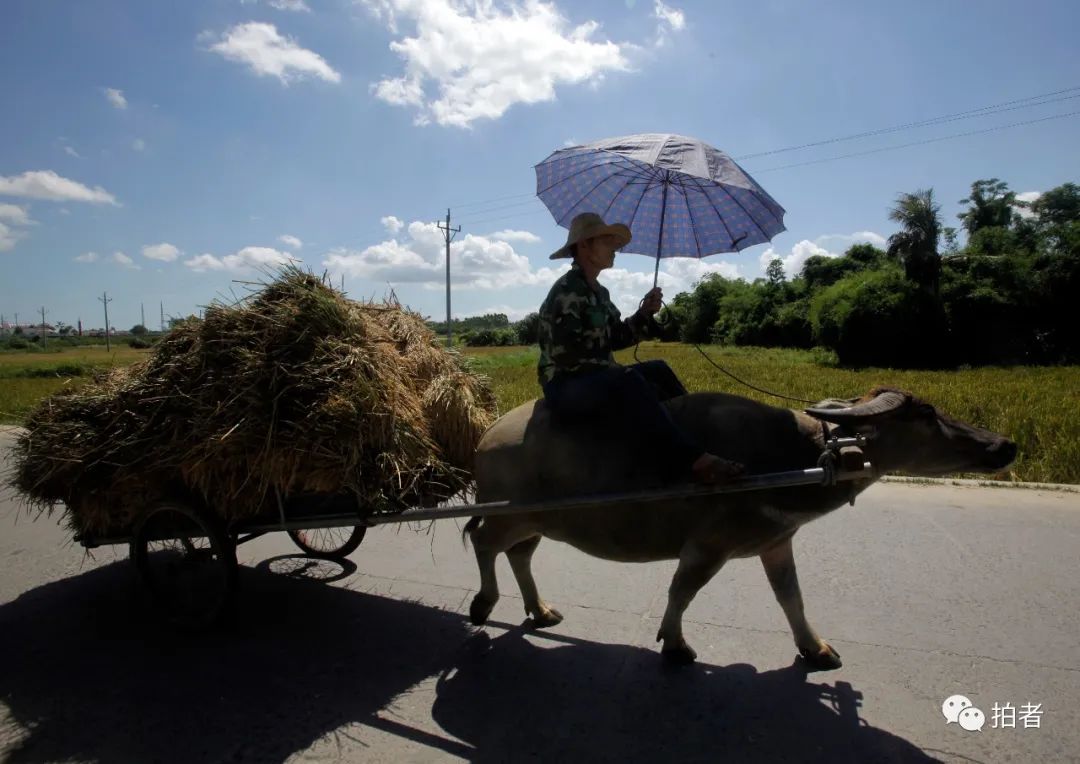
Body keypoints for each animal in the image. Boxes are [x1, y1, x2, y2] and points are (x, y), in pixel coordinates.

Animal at [462, 384, 1010, 665]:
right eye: (927, 414)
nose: (1004, 444)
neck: (794, 456)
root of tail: (487, 435)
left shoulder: (777, 542)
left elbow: (791, 597)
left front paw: (815, 647)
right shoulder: (708, 546)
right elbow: (682, 592)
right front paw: (675, 644)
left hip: (536, 522)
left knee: (519, 554)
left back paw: (539, 610)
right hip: (512, 514)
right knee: (483, 541)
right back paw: (483, 604)